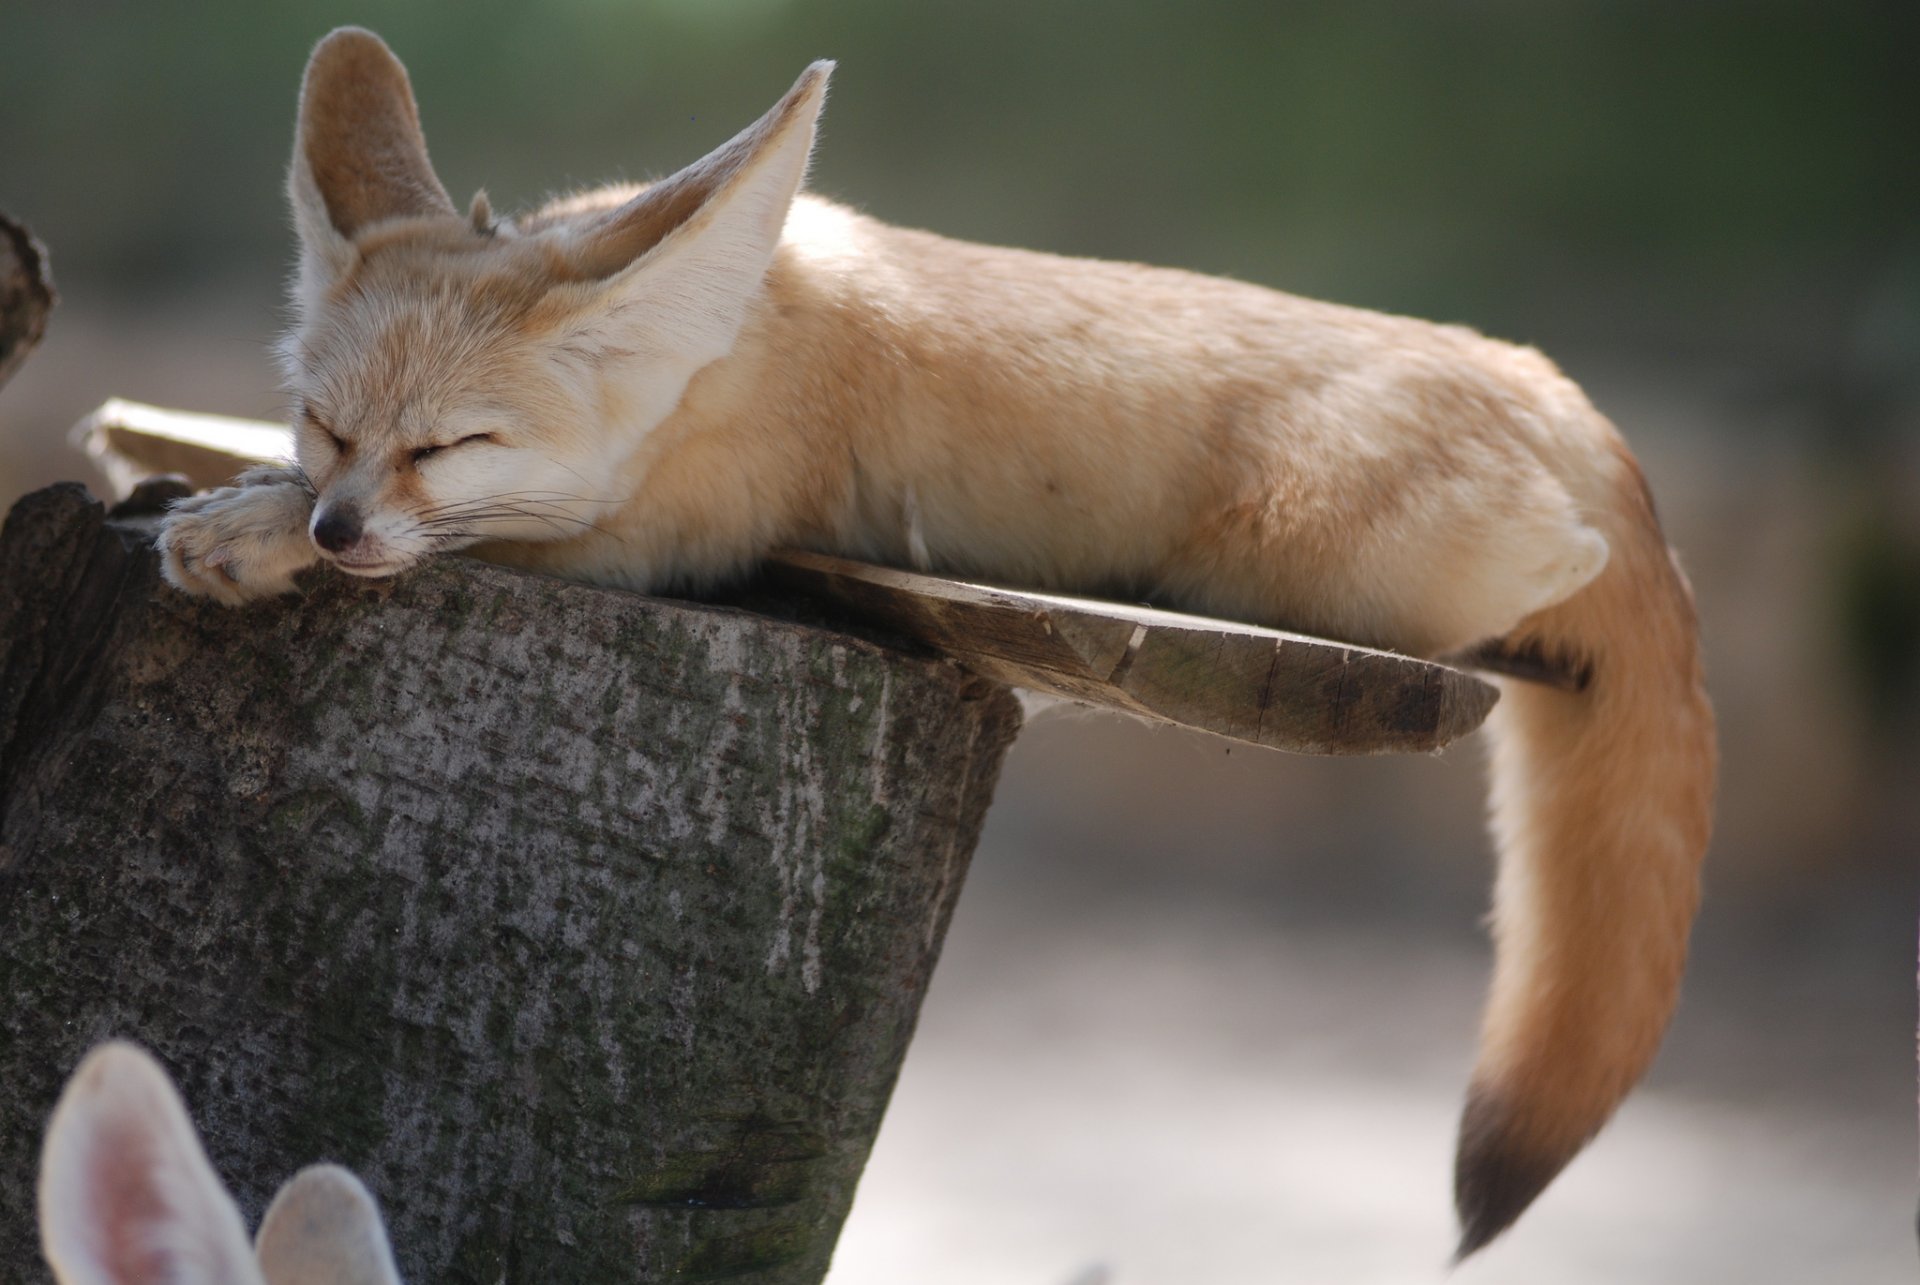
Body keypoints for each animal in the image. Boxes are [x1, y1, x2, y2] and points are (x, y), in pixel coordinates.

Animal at [155, 27, 1716, 1257]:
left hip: (1313, 548)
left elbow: (468, 541)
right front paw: (236, 498)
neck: (731, 347)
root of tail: (1557, 386)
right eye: (327, 427)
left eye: (445, 447)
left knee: (1550, 598)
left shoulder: (663, 536)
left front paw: (244, 533)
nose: (342, 526)